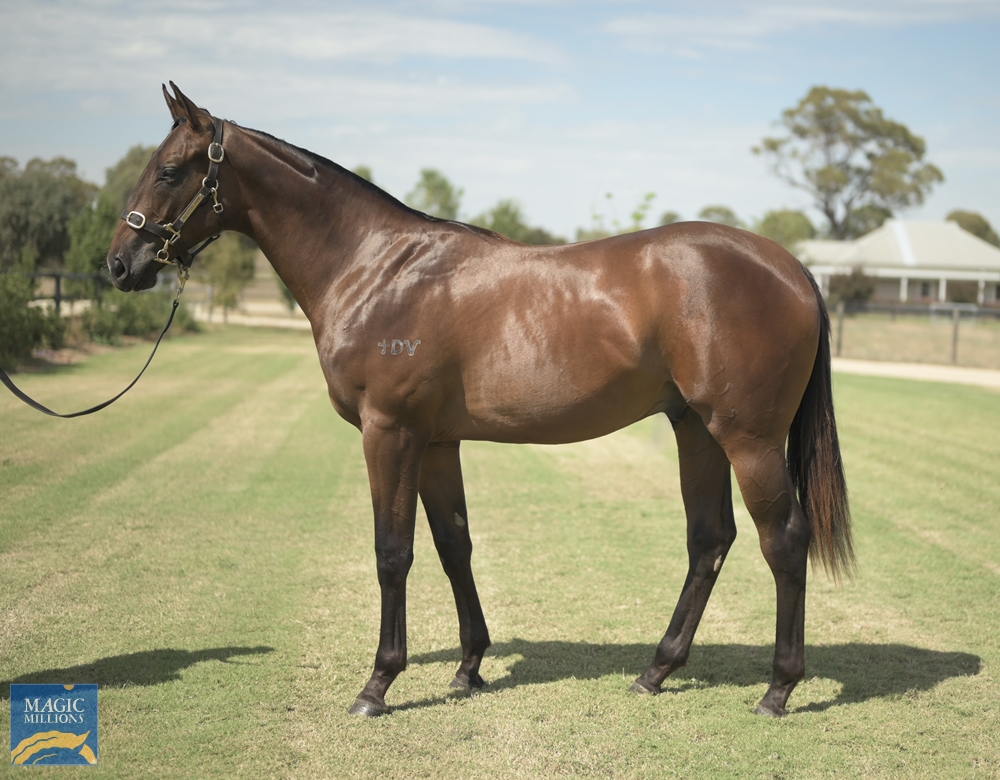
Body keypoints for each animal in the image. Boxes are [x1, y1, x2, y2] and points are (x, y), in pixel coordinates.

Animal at [107, 85, 852, 720]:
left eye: (168, 172)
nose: (118, 265)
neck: (376, 268)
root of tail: (790, 267)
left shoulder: (390, 432)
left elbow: (393, 551)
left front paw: (378, 684)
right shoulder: (437, 441)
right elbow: (453, 544)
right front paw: (469, 667)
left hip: (747, 439)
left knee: (783, 542)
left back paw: (778, 690)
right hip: (695, 428)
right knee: (710, 541)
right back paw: (655, 671)